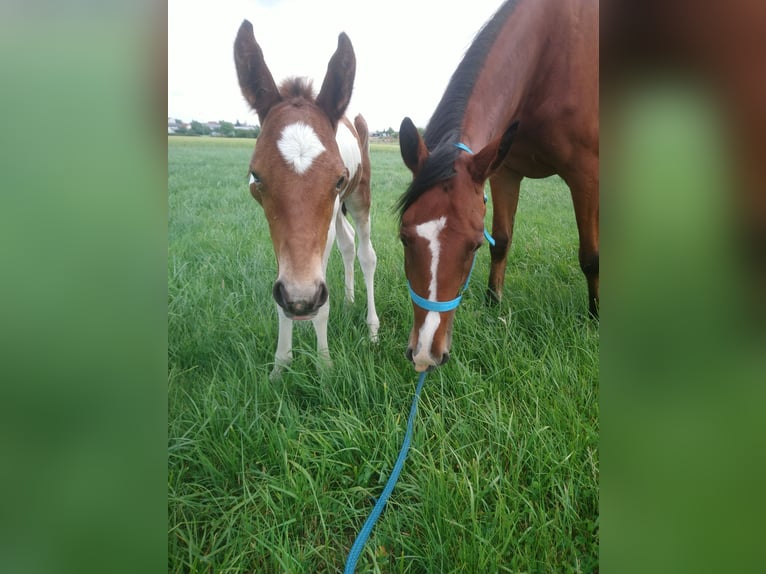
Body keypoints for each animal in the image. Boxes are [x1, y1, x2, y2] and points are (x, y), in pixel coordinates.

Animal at [232, 20, 380, 380]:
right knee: (348, 243)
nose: (301, 303)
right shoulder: (281, 238)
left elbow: (320, 301)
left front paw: (324, 366)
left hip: (360, 197)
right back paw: (350, 300)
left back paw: (372, 328)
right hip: (337, 214)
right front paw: (280, 367)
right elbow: (283, 297)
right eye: (256, 176)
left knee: (366, 253)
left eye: (338, 177)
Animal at [400, 0, 604, 374]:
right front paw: (492, 303)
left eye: (473, 246)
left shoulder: (586, 175)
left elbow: (590, 257)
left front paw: (596, 317)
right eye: (405, 238)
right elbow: (504, 241)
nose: (424, 354)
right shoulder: (504, 171)